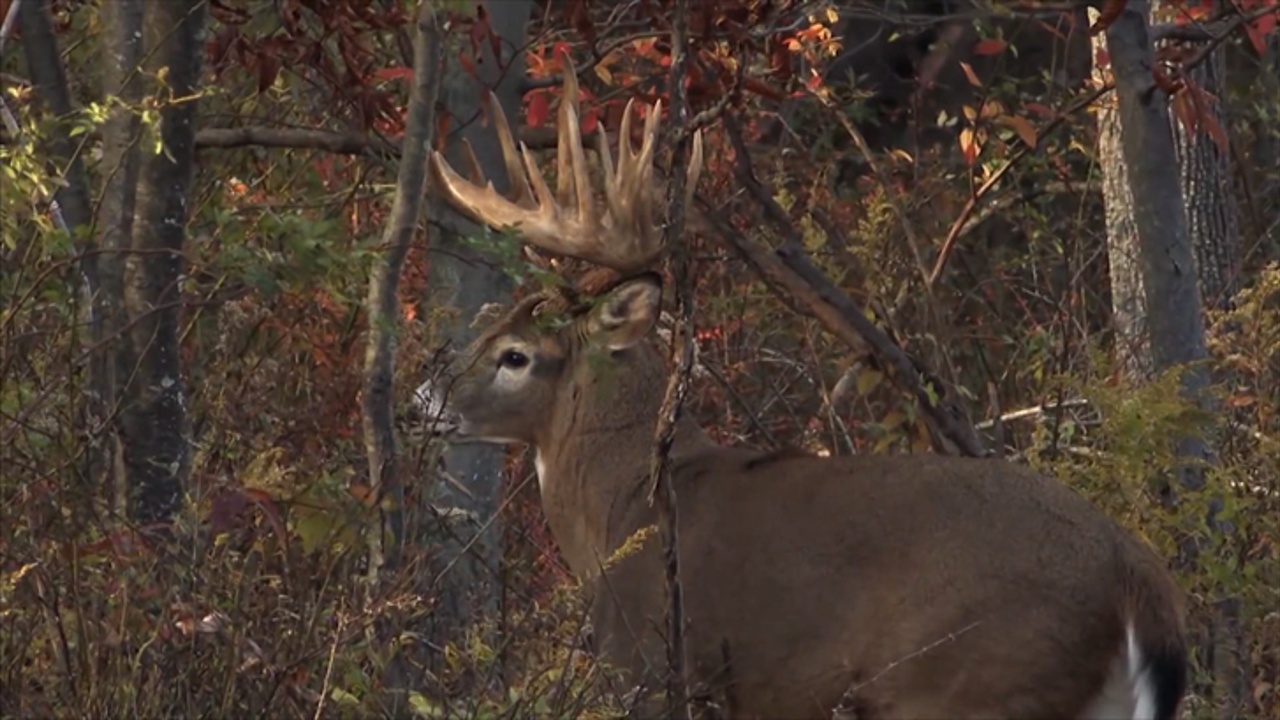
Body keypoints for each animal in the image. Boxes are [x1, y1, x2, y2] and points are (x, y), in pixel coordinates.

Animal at [415, 67, 1188, 719]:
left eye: (516, 356)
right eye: (487, 325)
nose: (425, 398)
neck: (626, 502)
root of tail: (1138, 588)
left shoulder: (653, 663)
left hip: (971, 687)